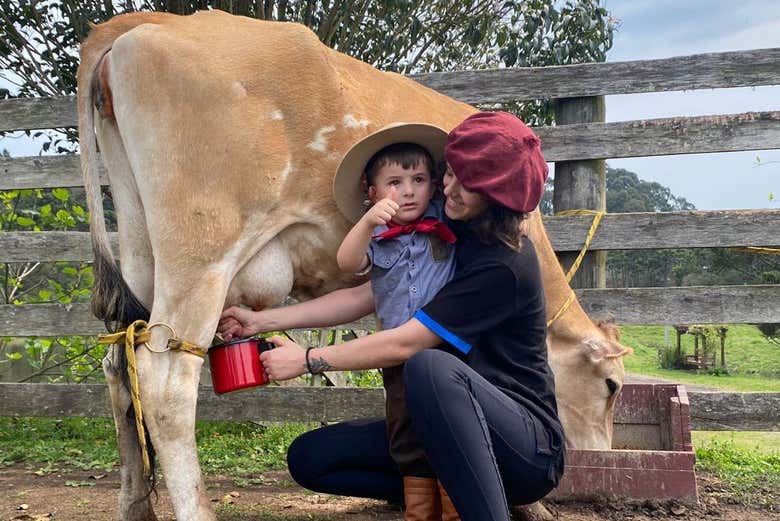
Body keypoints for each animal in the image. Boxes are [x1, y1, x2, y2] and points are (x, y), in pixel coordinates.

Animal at [77, 10, 629, 521]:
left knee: (119, 366)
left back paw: (135, 506)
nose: (601, 458)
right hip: (202, 251)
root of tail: (145, 23)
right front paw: (530, 503)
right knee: (164, 380)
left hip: (141, 254)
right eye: (612, 386)